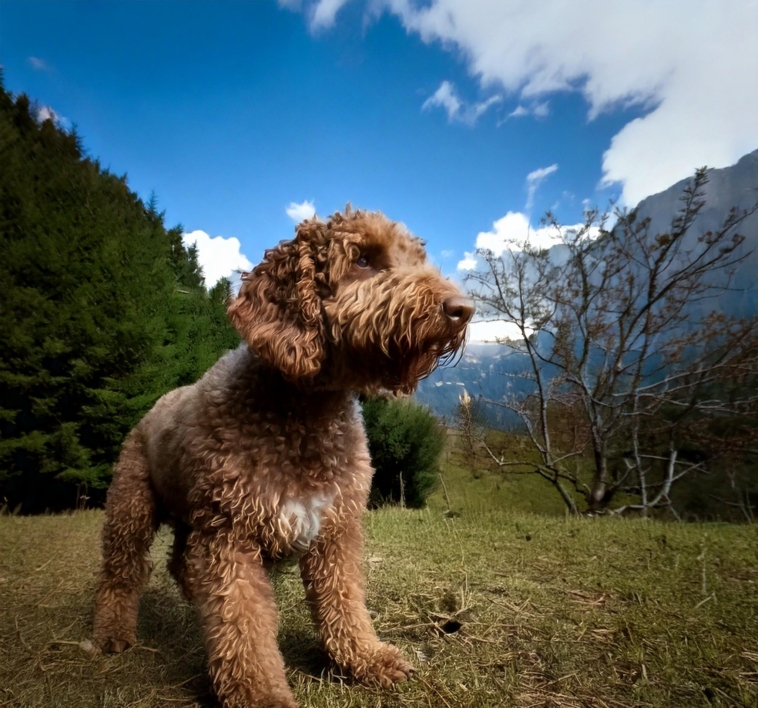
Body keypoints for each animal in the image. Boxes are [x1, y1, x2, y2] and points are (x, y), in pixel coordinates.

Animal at [92, 207, 476, 708]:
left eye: (416, 256)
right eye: (363, 259)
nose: (462, 309)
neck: (305, 415)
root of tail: (158, 401)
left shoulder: (335, 530)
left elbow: (344, 603)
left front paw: (365, 658)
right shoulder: (230, 538)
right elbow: (243, 628)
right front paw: (261, 694)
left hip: (192, 515)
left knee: (179, 561)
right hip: (132, 507)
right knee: (121, 571)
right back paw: (112, 630)